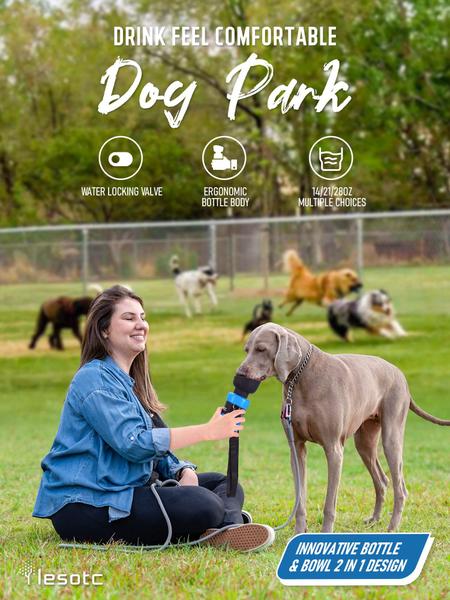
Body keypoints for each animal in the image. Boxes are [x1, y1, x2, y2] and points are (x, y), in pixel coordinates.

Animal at [237, 324, 448, 536]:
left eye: (261, 349)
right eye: (246, 350)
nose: (239, 374)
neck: (301, 378)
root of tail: (400, 374)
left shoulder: (334, 449)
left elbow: (329, 503)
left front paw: (325, 533)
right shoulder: (296, 448)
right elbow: (300, 499)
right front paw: (298, 533)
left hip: (391, 436)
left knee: (400, 487)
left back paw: (392, 527)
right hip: (364, 442)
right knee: (381, 480)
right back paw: (374, 520)